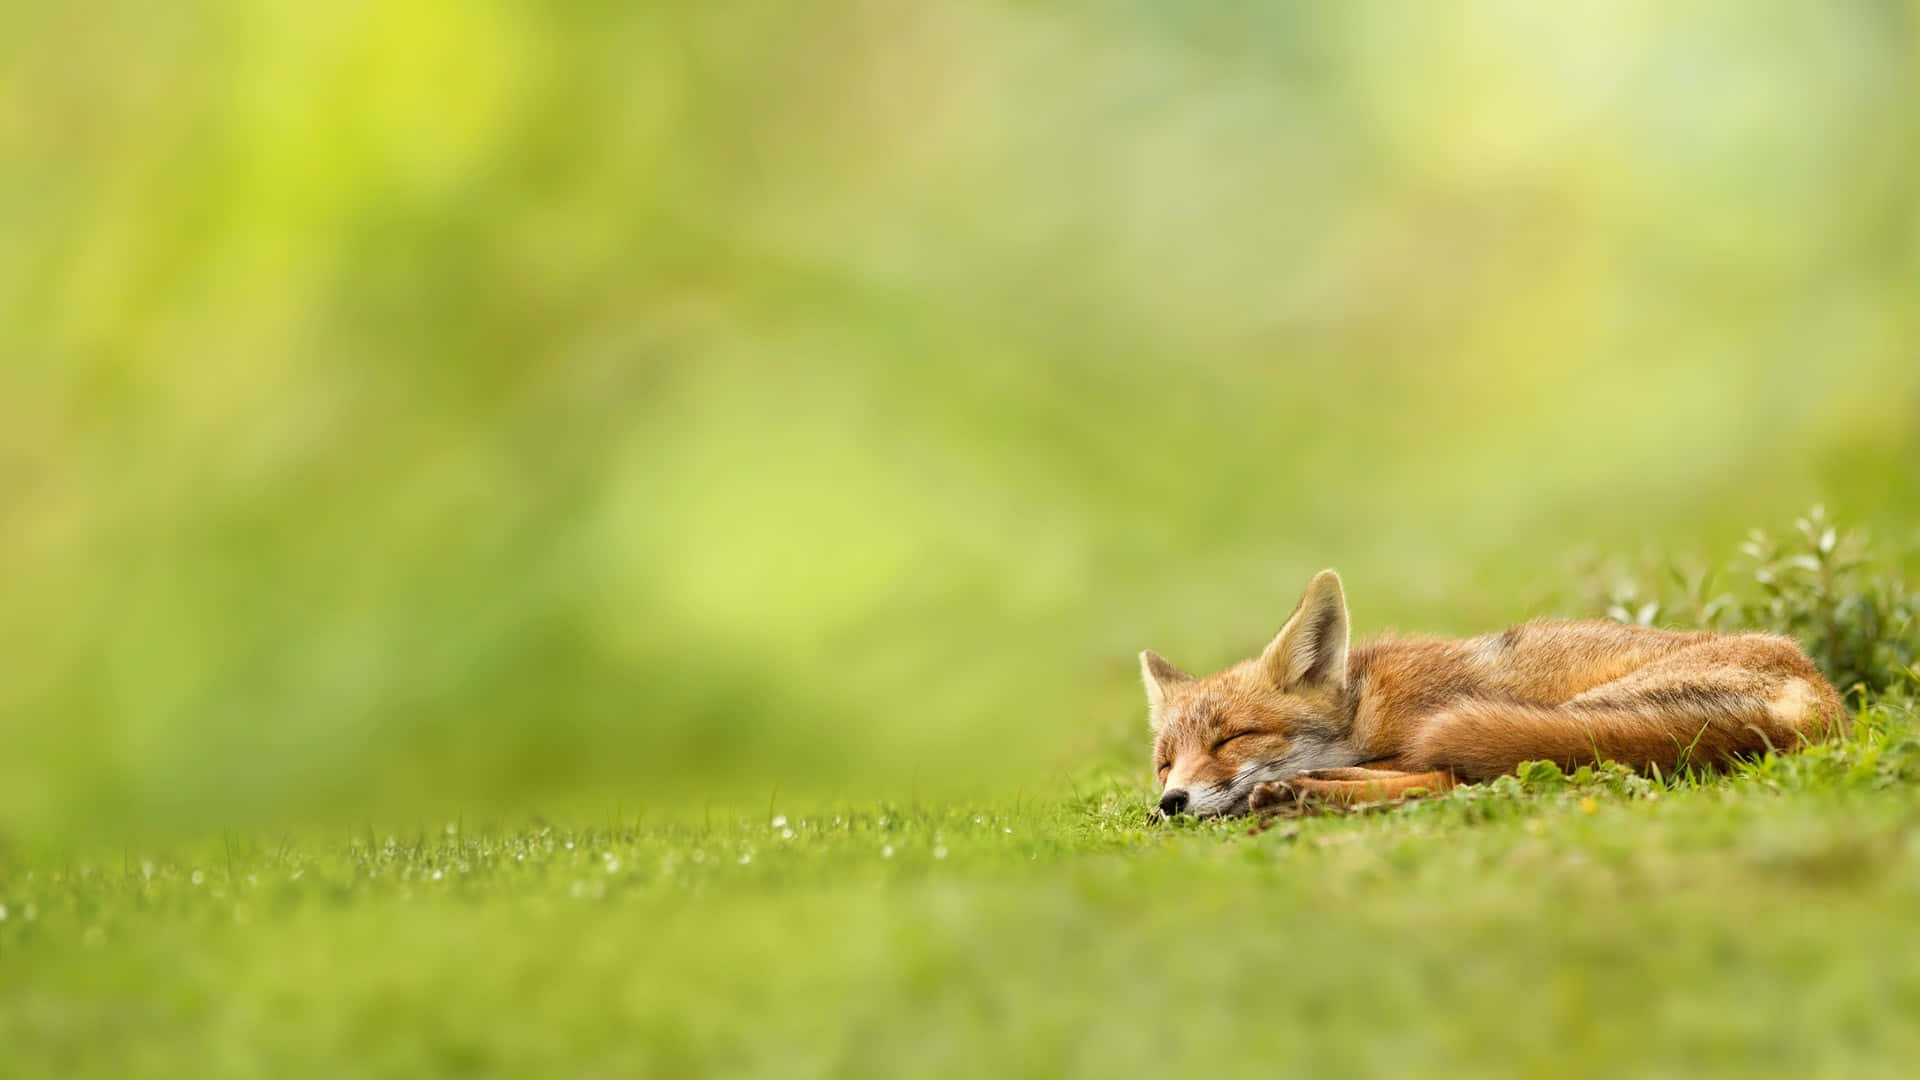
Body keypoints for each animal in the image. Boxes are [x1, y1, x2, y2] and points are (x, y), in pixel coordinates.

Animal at [1142, 570, 1846, 817]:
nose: (1171, 802)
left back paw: (1301, 793)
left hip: (1571, 716)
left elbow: (1432, 774)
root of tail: (1821, 699)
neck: (1366, 706)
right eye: (1163, 764)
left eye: (1233, 738)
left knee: (1460, 779)